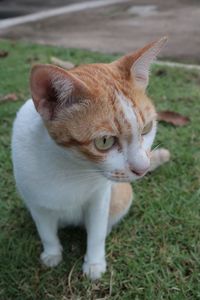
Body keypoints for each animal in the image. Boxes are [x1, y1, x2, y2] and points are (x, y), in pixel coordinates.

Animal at [11, 37, 170, 282]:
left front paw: (94, 263)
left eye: (147, 128)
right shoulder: (36, 203)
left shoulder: (100, 198)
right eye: (105, 141)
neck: (70, 166)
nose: (142, 169)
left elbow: (95, 233)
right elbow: (46, 232)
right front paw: (52, 254)